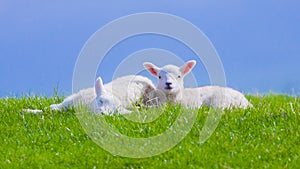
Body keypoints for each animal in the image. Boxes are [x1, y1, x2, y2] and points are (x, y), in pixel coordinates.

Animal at [22, 75, 157, 115]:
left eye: (113, 112)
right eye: (100, 101)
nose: (102, 113)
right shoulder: (71, 101)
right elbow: (51, 108)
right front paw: (28, 111)